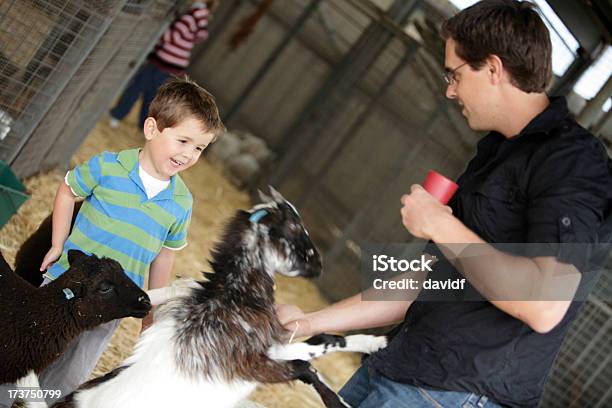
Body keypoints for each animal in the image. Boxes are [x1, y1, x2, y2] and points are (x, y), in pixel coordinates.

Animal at [53, 188, 388, 408]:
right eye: (294, 226)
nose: (319, 265)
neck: (230, 296)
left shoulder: (271, 346)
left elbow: (323, 341)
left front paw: (375, 343)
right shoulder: (259, 363)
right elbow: (310, 361)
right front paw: (342, 396)